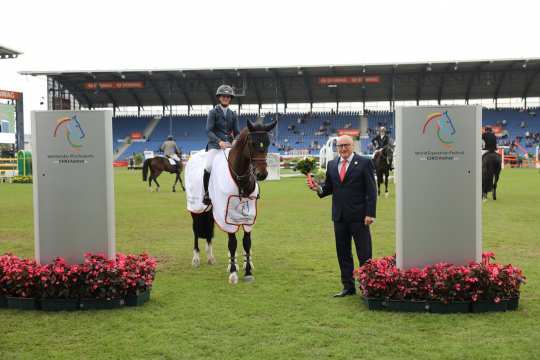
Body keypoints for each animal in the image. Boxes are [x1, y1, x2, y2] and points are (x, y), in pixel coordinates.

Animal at [186, 117, 276, 284]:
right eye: (252, 143)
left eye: (268, 143)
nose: (261, 174)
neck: (240, 179)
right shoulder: (225, 213)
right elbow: (232, 243)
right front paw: (233, 273)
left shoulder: (248, 213)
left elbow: (247, 242)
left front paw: (247, 271)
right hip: (195, 208)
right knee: (195, 230)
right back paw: (196, 259)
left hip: (211, 210)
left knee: (209, 232)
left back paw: (211, 257)